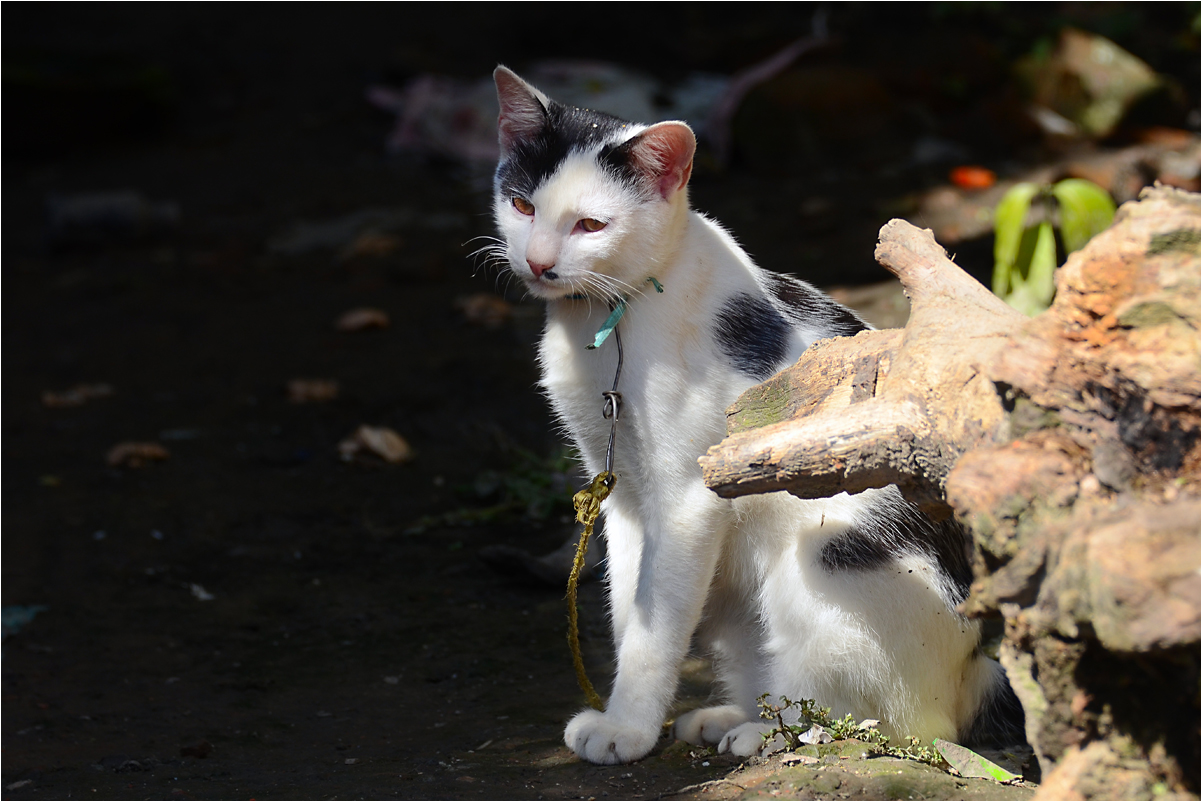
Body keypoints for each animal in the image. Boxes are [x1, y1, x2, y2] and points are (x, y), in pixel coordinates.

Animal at [488, 64, 1024, 764]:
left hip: (821, 555)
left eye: (590, 225)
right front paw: (627, 715)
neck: (609, 319)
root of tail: (977, 668)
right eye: (524, 206)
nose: (540, 263)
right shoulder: (623, 494)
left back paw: (768, 733)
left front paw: (627, 728)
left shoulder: (688, 496)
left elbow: (656, 624)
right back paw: (729, 715)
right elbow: (630, 608)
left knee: (887, 724)